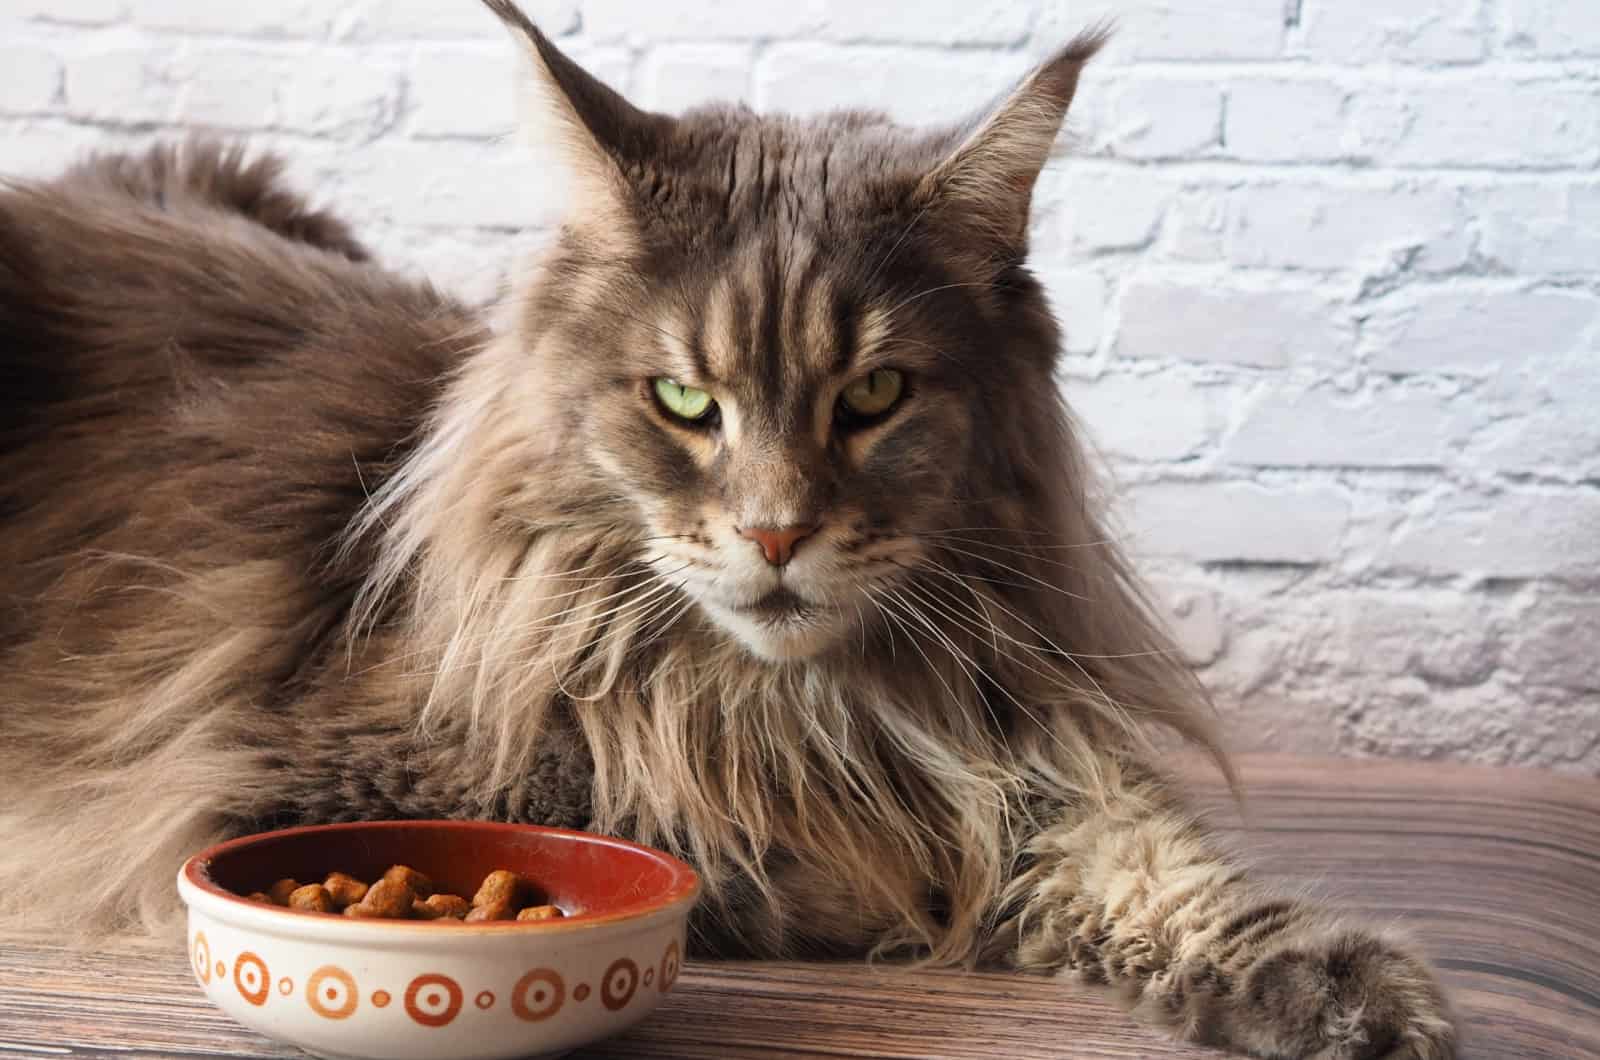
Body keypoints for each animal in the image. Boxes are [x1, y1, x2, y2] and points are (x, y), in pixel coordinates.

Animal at [0, 4, 1452, 1056]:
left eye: (873, 396)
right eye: (686, 402)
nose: (774, 533)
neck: (790, 701)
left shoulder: (1024, 744)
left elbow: (1147, 857)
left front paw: (1345, 992)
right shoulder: (277, 779)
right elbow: (784, 853)